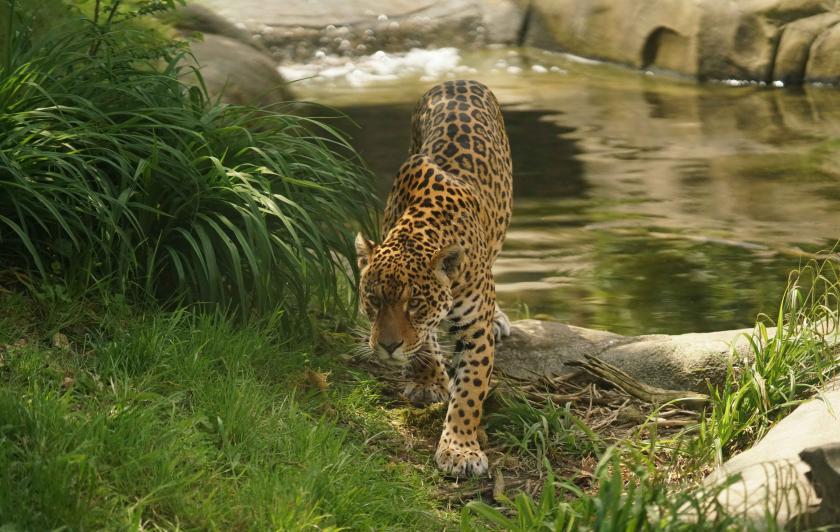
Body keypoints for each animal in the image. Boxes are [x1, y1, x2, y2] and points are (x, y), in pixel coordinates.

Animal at [355, 79, 513, 477]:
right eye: (374, 300)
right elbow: (425, 343)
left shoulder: (475, 330)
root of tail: (457, 81)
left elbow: (470, 391)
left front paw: (460, 449)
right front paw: (428, 381)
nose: (388, 347)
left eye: (414, 304)